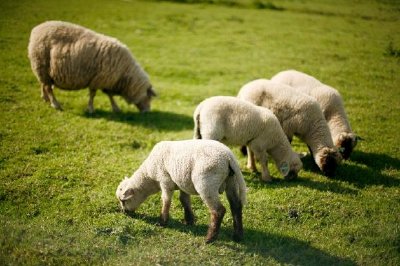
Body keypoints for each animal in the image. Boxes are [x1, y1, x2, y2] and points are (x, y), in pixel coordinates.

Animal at [27, 20, 156, 112]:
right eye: (149, 97)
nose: (147, 111)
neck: (125, 72)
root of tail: (36, 29)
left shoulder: (107, 80)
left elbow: (109, 95)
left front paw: (116, 108)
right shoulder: (99, 79)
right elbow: (94, 95)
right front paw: (90, 109)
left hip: (43, 70)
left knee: (44, 84)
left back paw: (45, 98)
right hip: (41, 64)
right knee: (48, 88)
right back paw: (55, 104)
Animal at [115, 139, 247, 243]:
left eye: (123, 201)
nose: (124, 212)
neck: (149, 176)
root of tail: (228, 156)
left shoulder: (165, 181)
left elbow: (166, 201)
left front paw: (162, 222)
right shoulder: (183, 183)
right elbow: (184, 200)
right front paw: (189, 220)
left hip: (206, 183)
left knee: (218, 210)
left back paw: (210, 238)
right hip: (231, 182)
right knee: (236, 206)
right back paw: (238, 235)